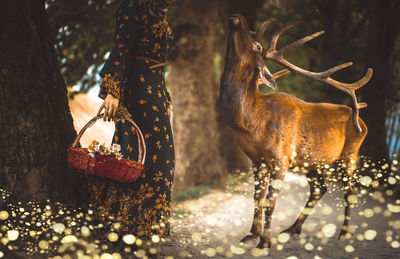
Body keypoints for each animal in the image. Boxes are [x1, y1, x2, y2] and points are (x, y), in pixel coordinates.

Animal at [219, 13, 372, 252]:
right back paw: (291, 230)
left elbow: (270, 201)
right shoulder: (257, 160)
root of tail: (362, 122)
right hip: (311, 161)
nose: (238, 17)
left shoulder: (281, 158)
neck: (252, 124)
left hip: (351, 154)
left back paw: (345, 233)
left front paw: (264, 242)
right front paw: (250, 236)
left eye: (257, 44)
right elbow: (257, 198)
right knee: (320, 188)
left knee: (349, 191)